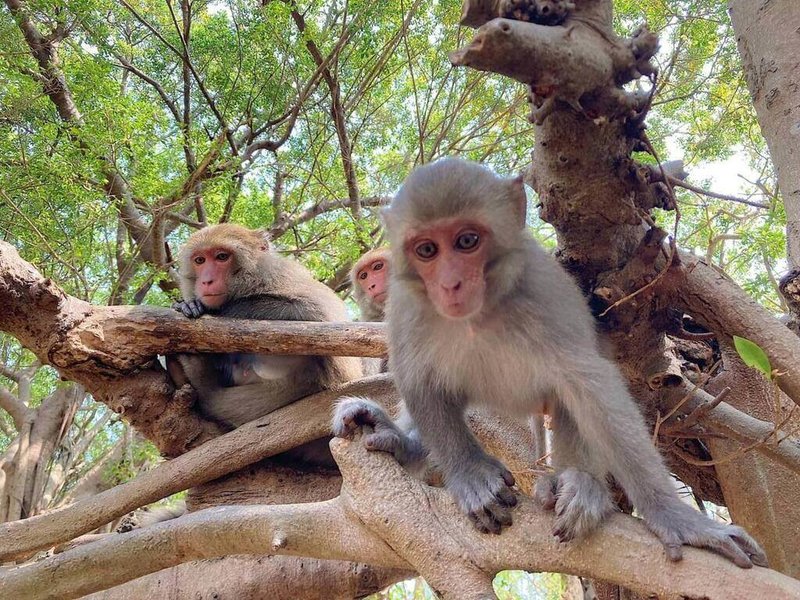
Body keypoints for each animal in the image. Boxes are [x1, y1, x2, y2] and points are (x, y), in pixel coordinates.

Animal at [174, 225, 362, 464]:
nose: (206, 281)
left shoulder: (284, 275)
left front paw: (203, 307)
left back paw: (205, 385)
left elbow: (317, 314)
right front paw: (190, 304)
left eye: (222, 257)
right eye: (200, 260)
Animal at [332, 157, 768, 568]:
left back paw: (578, 485)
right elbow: (420, 383)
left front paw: (675, 516)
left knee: (571, 398)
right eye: (427, 250)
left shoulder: (542, 293)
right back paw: (400, 442)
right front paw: (471, 475)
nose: (450, 284)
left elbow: (591, 384)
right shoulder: (405, 306)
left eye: (467, 241)